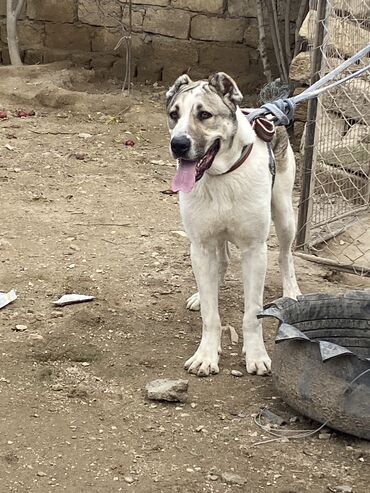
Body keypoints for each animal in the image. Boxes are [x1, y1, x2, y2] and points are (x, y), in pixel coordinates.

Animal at [166, 71, 300, 376]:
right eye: (173, 115)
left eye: (204, 114)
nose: (178, 145)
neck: (221, 175)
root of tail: (267, 111)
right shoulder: (201, 246)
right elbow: (210, 315)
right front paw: (206, 355)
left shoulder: (254, 251)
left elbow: (252, 314)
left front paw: (256, 355)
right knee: (222, 260)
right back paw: (202, 293)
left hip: (284, 213)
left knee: (285, 255)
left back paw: (291, 291)